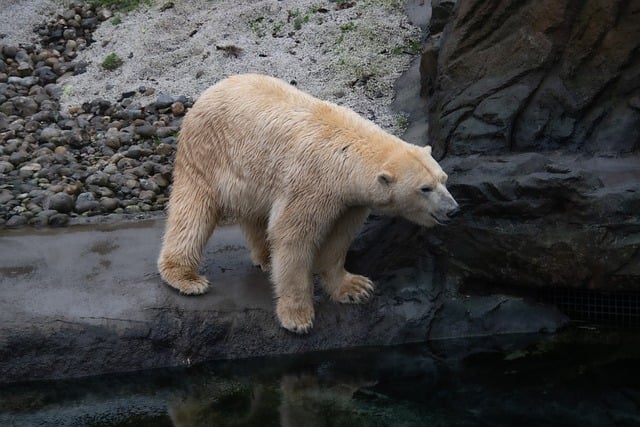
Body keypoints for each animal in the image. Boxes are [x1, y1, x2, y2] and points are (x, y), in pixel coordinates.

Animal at [158, 73, 459, 333]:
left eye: (444, 179)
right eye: (425, 188)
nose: (452, 209)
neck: (347, 152)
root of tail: (208, 92)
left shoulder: (349, 201)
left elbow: (339, 237)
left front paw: (355, 287)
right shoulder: (312, 184)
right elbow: (293, 236)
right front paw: (297, 316)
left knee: (255, 213)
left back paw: (265, 257)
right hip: (207, 153)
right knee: (194, 210)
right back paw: (186, 277)